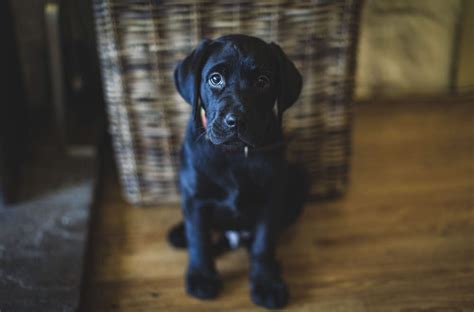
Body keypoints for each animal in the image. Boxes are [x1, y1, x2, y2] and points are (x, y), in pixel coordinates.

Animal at [170, 34, 308, 310]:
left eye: (263, 81)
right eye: (215, 79)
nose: (235, 121)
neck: (234, 155)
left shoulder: (271, 200)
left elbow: (263, 244)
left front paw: (267, 283)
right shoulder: (196, 198)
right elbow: (199, 238)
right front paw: (202, 276)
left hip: (298, 179)